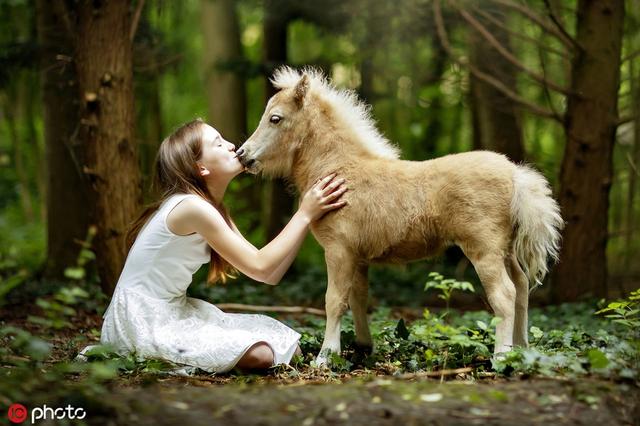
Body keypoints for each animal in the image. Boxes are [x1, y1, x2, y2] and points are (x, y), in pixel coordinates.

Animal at [238, 66, 564, 366]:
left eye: (275, 118)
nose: (242, 154)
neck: (339, 171)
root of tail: (515, 174)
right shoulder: (358, 257)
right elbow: (357, 298)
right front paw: (363, 347)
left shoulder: (338, 251)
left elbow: (334, 300)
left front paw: (325, 357)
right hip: (505, 250)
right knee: (521, 287)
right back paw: (522, 349)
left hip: (484, 250)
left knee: (505, 295)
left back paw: (501, 357)